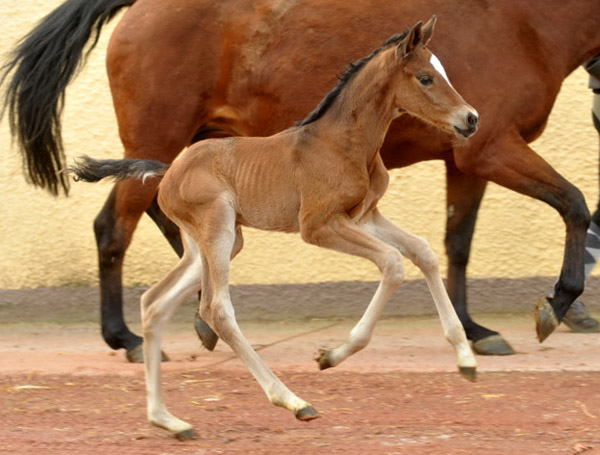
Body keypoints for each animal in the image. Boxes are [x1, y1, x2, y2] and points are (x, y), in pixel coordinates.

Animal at [4, 0, 600, 362]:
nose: (469, 115)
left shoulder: (466, 158)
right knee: (114, 226)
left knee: (172, 221)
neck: (523, 23)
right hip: (160, 137)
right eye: (427, 77)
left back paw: (199, 316)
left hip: (187, 146)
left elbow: (456, 242)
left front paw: (475, 329)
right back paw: (126, 336)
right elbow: (574, 202)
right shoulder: (492, 148)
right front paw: (558, 304)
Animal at [68, 17, 478, 442]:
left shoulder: (365, 216)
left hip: (210, 244)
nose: (471, 119)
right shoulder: (319, 225)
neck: (341, 143)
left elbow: (422, 250)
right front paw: (332, 355)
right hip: (217, 229)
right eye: (426, 78)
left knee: (155, 302)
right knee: (215, 308)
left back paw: (169, 420)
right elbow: (394, 263)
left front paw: (465, 358)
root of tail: (168, 172)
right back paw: (293, 402)